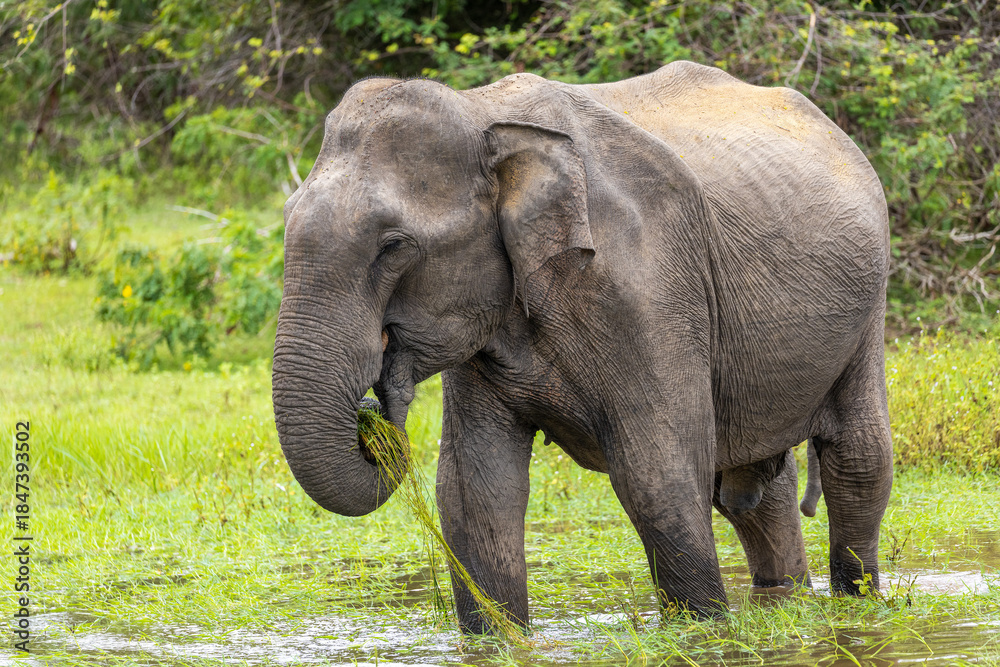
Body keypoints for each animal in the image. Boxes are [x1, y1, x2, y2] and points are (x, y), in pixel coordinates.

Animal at [272, 61, 892, 632]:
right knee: (753, 488)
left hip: (870, 306)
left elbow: (657, 474)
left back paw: (856, 598)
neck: (483, 113)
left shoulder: (650, 287)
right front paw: (497, 639)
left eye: (393, 247)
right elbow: (475, 493)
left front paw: (702, 631)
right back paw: (784, 594)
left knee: (858, 460)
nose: (373, 411)